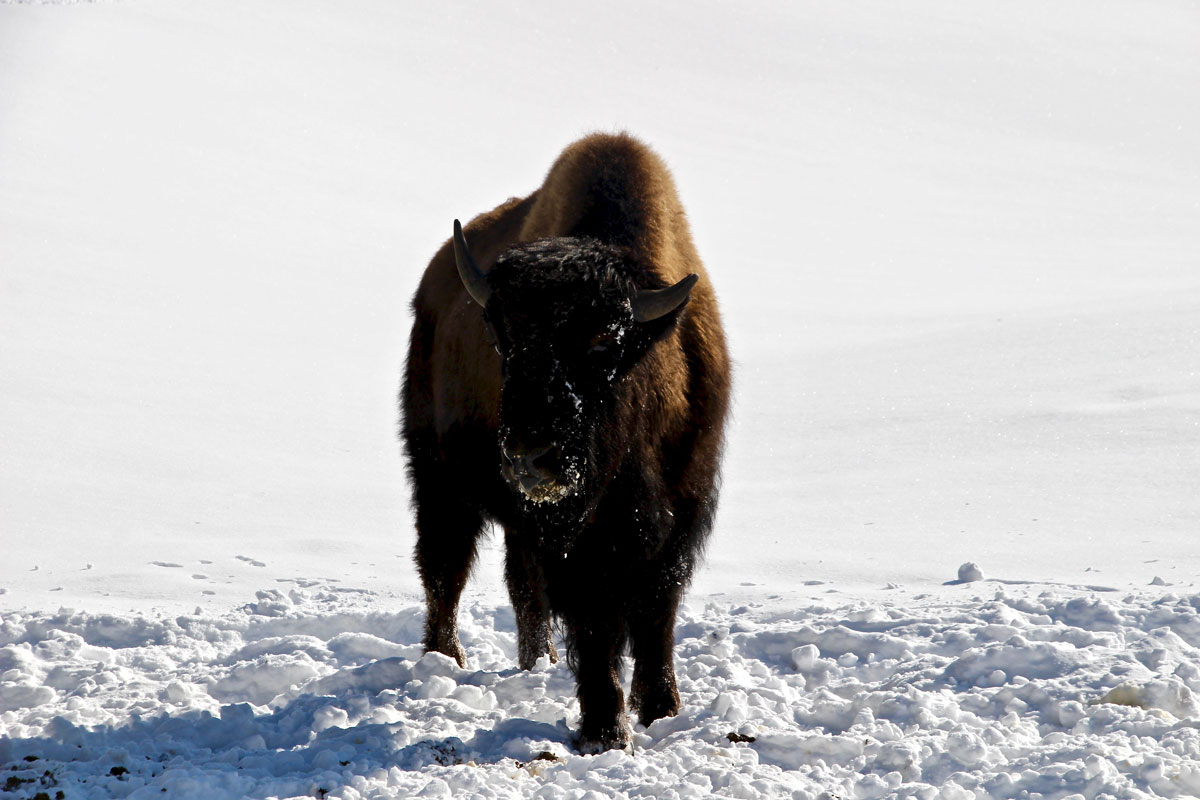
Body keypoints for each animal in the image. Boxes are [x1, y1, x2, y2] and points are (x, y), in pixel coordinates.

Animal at [403, 131, 729, 753]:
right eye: (501, 336)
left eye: (603, 339)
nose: (531, 458)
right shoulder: (578, 542)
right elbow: (595, 622)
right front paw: (605, 731)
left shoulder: (682, 515)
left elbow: (658, 613)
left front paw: (662, 711)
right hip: (438, 478)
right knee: (443, 567)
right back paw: (444, 660)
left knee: (519, 585)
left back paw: (539, 663)